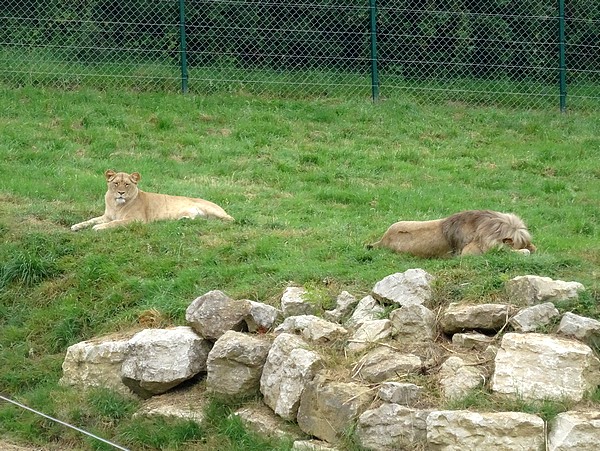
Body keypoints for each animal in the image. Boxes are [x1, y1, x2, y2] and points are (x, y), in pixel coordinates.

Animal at [71, 170, 236, 231]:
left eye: (127, 184)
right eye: (116, 183)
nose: (121, 193)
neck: (117, 204)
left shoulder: (136, 220)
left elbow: (115, 223)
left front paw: (98, 228)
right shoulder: (107, 216)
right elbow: (91, 219)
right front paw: (76, 226)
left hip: (211, 209)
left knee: (230, 218)